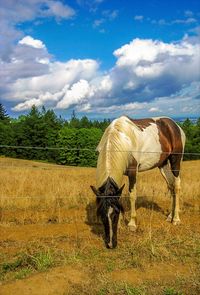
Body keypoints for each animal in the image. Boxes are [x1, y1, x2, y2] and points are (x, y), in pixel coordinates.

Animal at [90, 116, 186, 250]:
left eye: (115, 214)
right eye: (102, 215)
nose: (110, 244)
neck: (121, 139)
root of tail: (175, 125)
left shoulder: (132, 172)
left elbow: (132, 195)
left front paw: (132, 224)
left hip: (175, 161)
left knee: (176, 187)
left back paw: (176, 219)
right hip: (163, 164)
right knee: (171, 187)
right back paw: (169, 217)